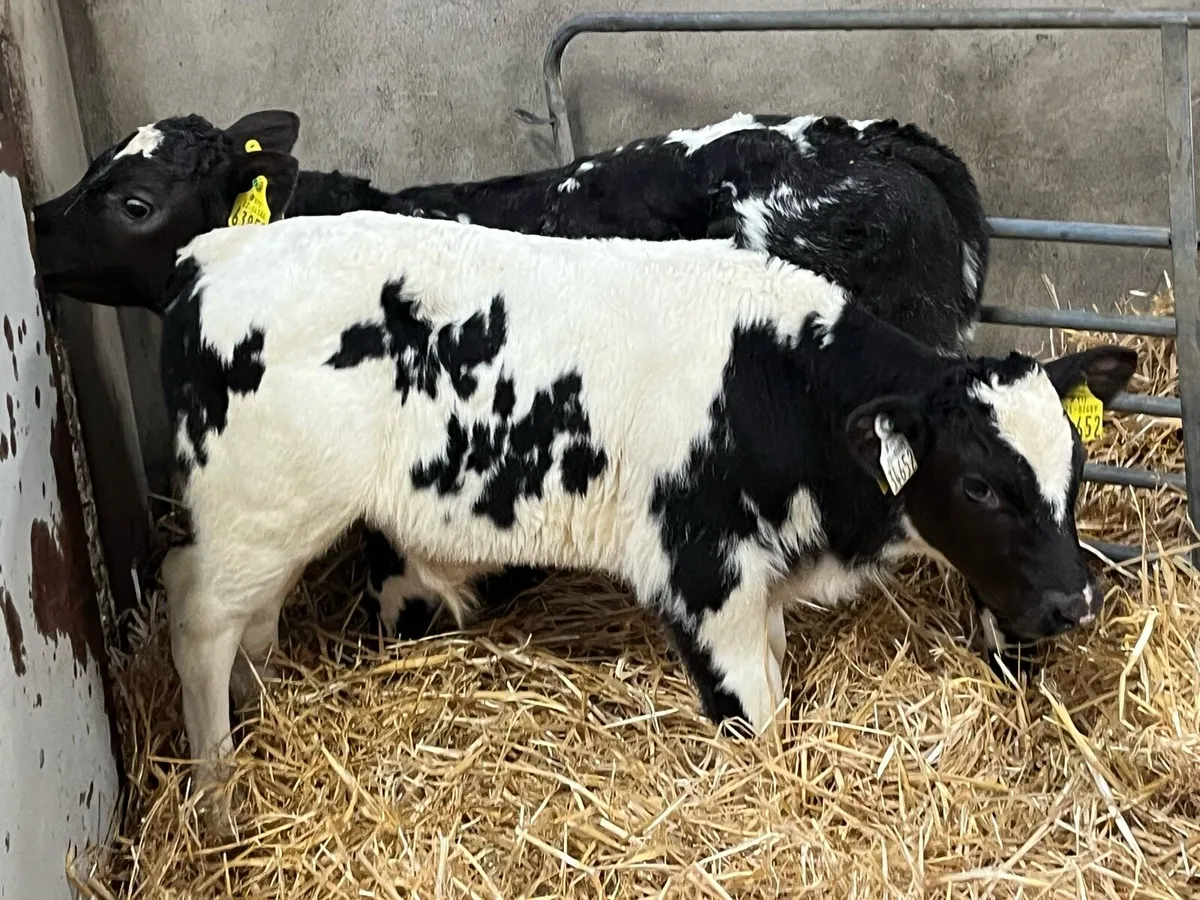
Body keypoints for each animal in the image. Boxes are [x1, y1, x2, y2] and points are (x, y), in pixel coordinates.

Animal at [159, 210, 1134, 835]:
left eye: (1078, 466)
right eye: (979, 487)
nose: (1075, 602)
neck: (780, 383)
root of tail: (216, 253)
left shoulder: (758, 583)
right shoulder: (703, 574)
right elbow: (754, 720)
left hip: (274, 521)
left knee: (252, 624)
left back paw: (266, 721)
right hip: (259, 507)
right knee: (198, 616)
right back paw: (218, 797)